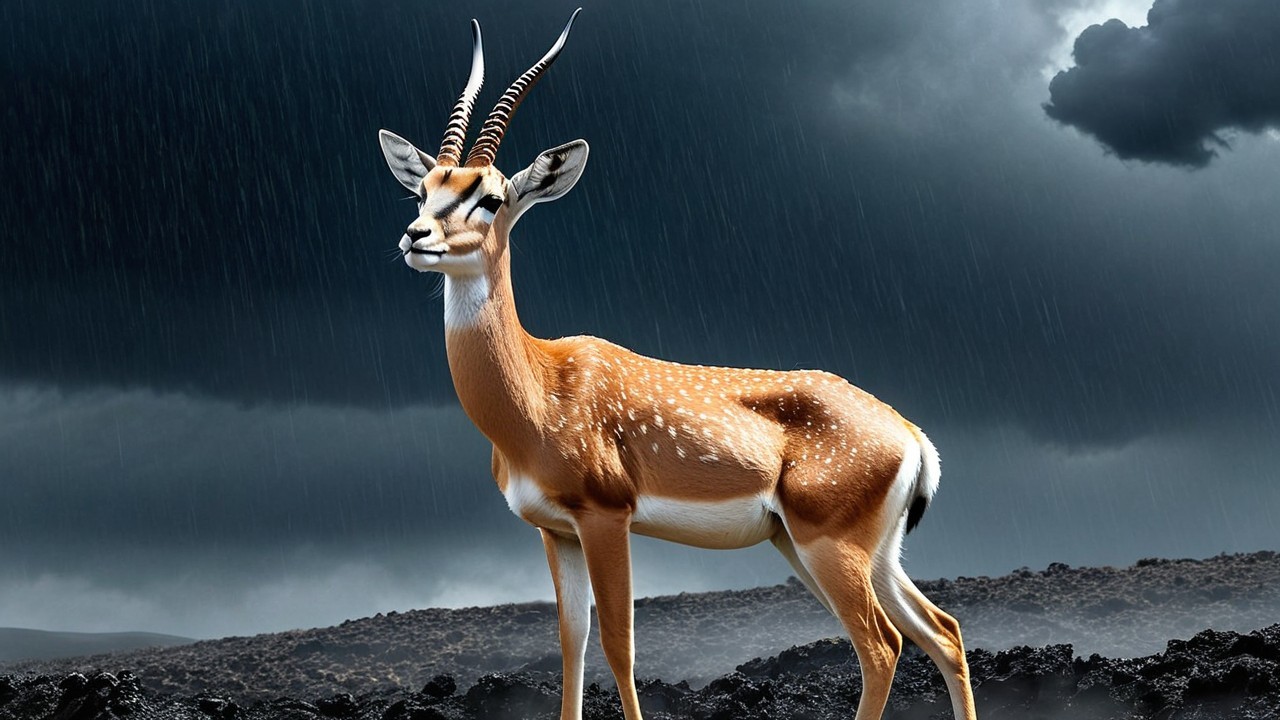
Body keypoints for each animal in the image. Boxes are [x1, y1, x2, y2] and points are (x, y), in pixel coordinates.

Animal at [376, 10, 977, 720]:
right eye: (424, 189)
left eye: (490, 197)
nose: (417, 237)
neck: (540, 388)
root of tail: (910, 433)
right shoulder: (557, 532)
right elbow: (572, 642)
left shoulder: (606, 518)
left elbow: (619, 643)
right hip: (841, 550)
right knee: (944, 632)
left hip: (830, 548)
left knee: (882, 646)